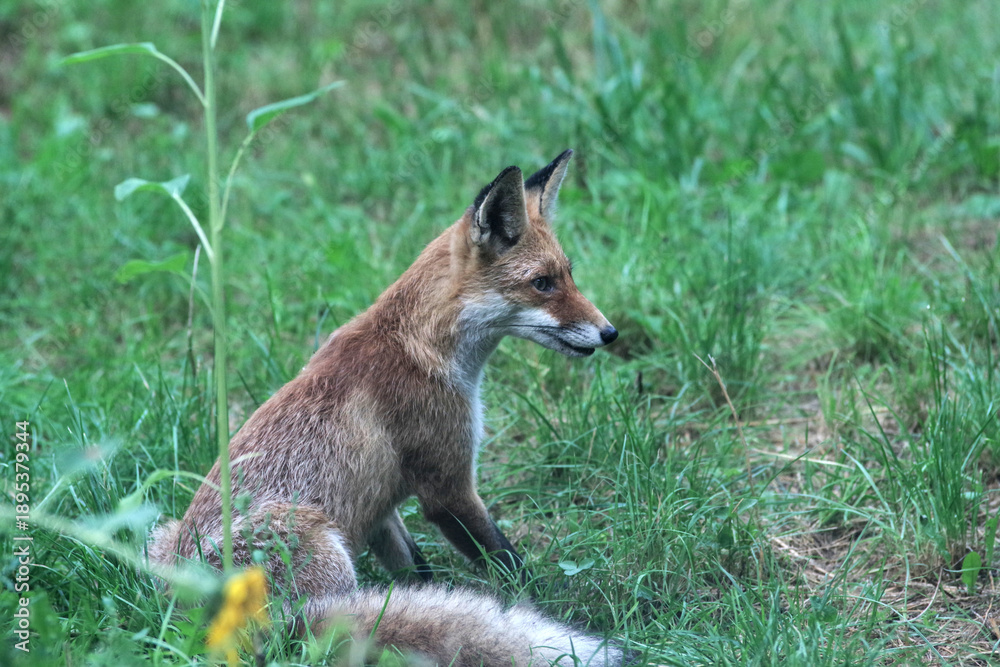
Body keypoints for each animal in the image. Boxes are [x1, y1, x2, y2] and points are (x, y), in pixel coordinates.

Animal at [149, 149, 623, 665]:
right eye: (542, 284)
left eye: (568, 275)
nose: (610, 332)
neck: (419, 347)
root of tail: (188, 608)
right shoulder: (446, 484)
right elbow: (507, 562)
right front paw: (548, 603)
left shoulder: (380, 508)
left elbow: (420, 578)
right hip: (316, 551)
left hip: (161, 535)